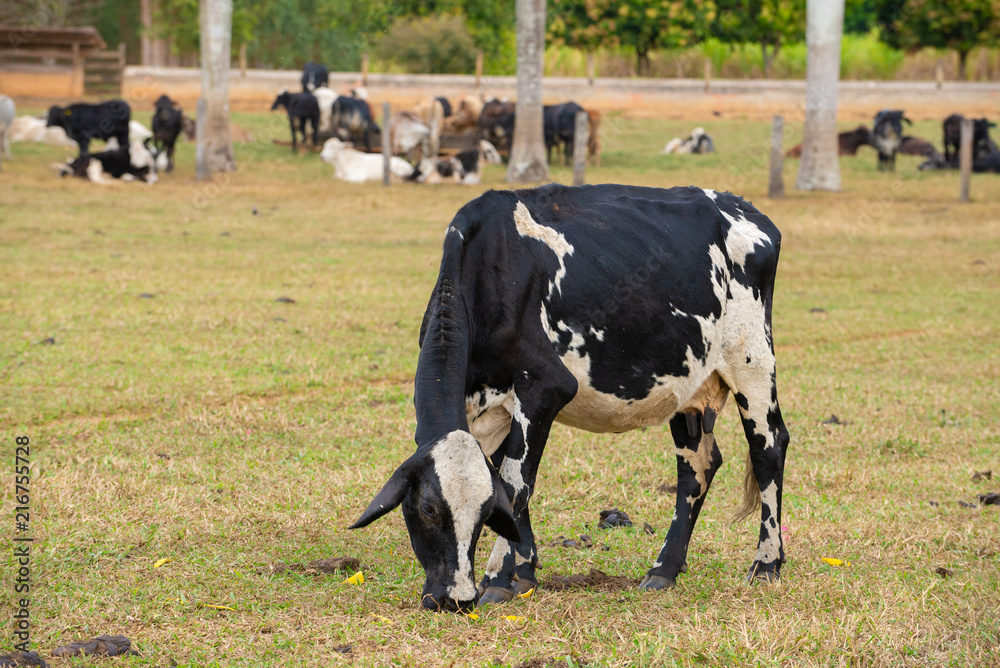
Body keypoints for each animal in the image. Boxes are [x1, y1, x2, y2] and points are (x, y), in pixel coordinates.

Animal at [350, 184, 790, 613]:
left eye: (482, 514)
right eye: (426, 508)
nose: (454, 599)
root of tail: (744, 208)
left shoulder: (545, 388)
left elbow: (515, 484)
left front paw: (498, 578)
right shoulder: (494, 409)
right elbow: (509, 481)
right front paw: (524, 572)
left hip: (752, 360)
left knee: (769, 447)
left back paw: (766, 564)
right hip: (689, 380)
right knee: (697, 466)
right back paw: (664, 569)